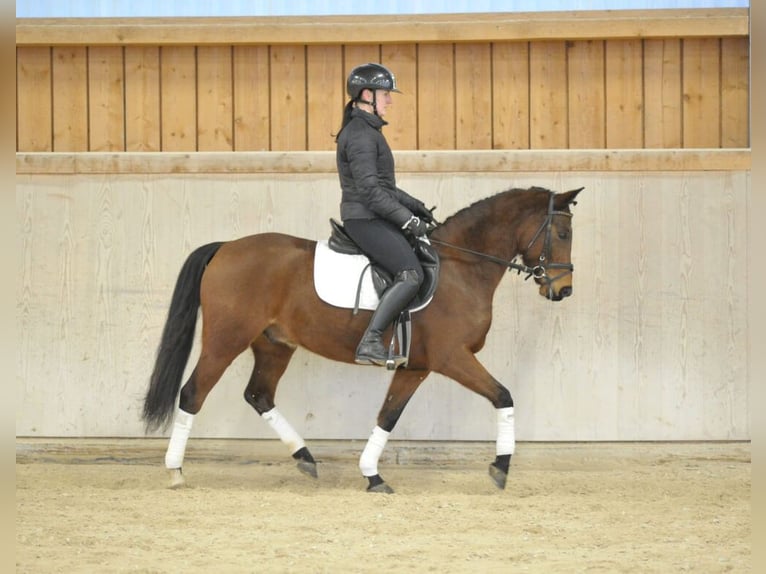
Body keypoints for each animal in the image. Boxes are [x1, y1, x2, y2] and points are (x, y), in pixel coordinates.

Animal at [142, 187, 584, 492]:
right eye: (562, 232)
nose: (563, 291)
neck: (462, 267)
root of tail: (226, 248)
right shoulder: (451, 358)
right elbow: (504, 396)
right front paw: (501, 468)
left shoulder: (415, 366)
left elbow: (387, 416)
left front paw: (372, 475)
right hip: (225, 340)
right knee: (193, 393)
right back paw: (176, 471)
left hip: (274, 344)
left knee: (259, 395)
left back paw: (305, 457)